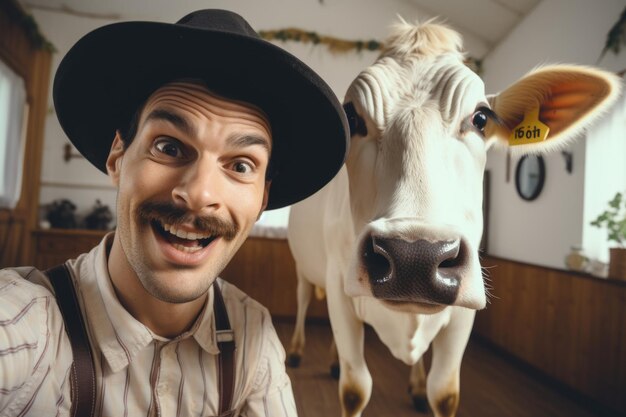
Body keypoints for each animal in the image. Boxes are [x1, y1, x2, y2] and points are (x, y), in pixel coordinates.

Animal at [286, 17, 616, 416]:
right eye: (352, 116)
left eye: (481, 118)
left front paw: (422, 389)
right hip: (305, 266)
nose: (414, 257)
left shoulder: (463, 313)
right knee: (303, 298)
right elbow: (355, 388)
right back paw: (297, 352)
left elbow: (443, 391)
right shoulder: (338, 286)